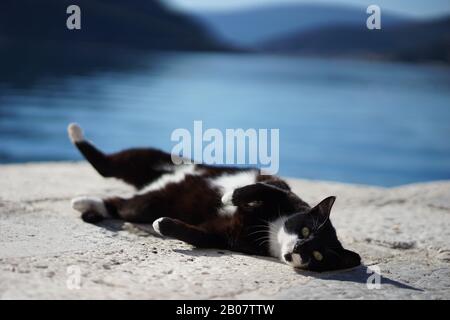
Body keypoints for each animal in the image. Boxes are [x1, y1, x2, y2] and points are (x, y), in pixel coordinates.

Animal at [67, 124, 362, 272]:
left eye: (318, 256)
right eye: (305, 230)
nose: (299, 249)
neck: (271, 229)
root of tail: (153, 184)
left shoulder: (225, 237)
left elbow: (198, 235)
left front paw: (164, 225)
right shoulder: (282, 189)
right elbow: (263, 188)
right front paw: (231, 196)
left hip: (145, 204)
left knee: (119, 204)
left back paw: (86, 203)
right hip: (155, 158)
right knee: (108, 165)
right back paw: (75, 132)